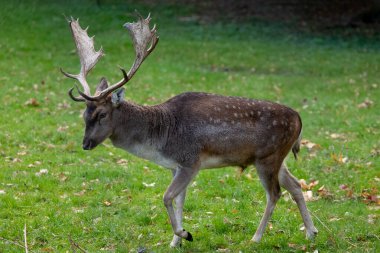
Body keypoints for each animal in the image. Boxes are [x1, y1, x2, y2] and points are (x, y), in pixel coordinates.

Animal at [61, 13, 318, 247]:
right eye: (84, 114)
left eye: (102, 114)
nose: (85, 144)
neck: (160, 138)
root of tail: (299, 119)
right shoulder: (175, 167)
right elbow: (179, 201)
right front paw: (176, 241)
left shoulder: (190, 161)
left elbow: (166, 197)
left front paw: (185, 234)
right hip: (275, 158)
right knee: (296, 184)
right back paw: (311, 232)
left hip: (268, 157)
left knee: (275, 193)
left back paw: (256, 238)